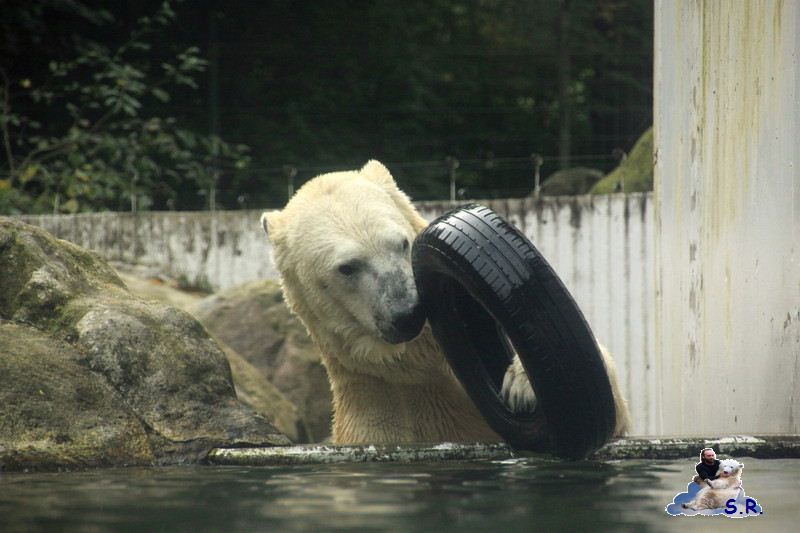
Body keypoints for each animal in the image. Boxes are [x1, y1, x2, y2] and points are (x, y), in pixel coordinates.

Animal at [262, 160, 632, 442]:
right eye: (347, 267)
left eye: (402, 243)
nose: (408, 313)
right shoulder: (376, 423)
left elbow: (615, 409)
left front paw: (522, 383)